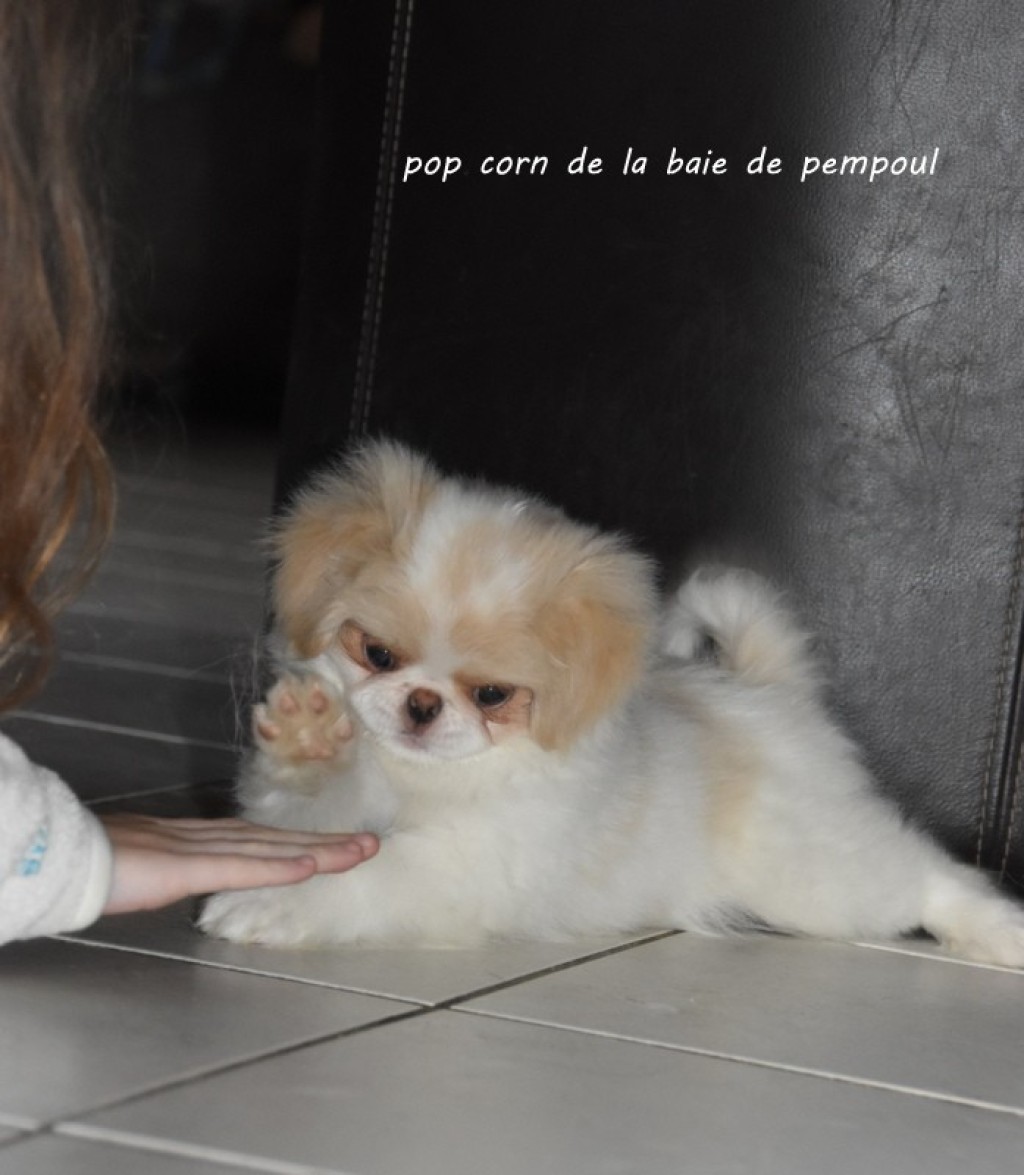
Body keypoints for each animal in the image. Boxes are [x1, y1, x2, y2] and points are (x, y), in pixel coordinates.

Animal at [200, 441, 1024, 965]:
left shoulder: (458, 865)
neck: (422, 779)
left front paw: (273, 909)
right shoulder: (303, 817)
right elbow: (313, 804)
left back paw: (999, 937)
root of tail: (770, 691)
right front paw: (309, 734)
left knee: (930, 874)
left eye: (492, 694)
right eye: (377, 654)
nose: (421, 705)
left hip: (813, 874)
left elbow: (364, 880)